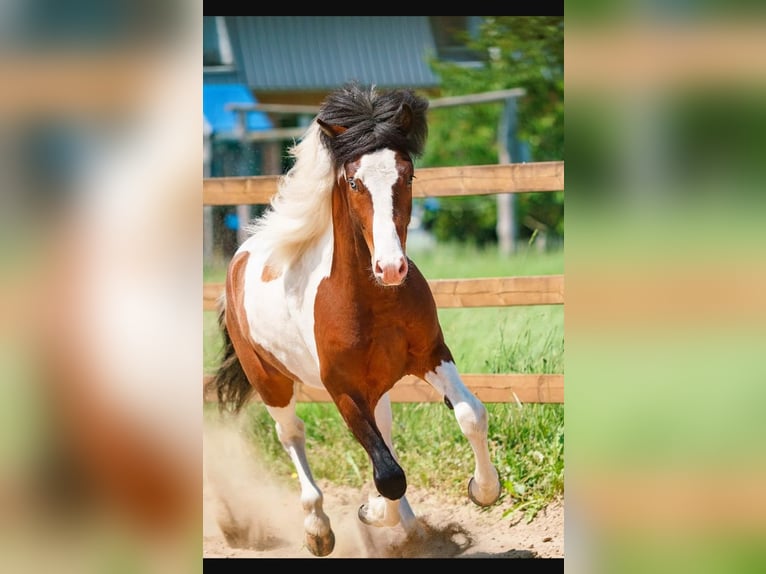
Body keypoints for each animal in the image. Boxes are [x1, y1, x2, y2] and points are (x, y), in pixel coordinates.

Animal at [207, 83, 504, 560]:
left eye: (407, 175)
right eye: (353, 181)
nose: (391, 268)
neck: (373, 301)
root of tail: (240, 258)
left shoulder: (431, 355)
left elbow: (470, 414)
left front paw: (481, 489)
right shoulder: (342, 389)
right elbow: (389, 474)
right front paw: (370, 512)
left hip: (377, 385)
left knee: (384, 433)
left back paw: (408, 527)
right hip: (271, 381)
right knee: (291, 434)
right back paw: (318, 530)